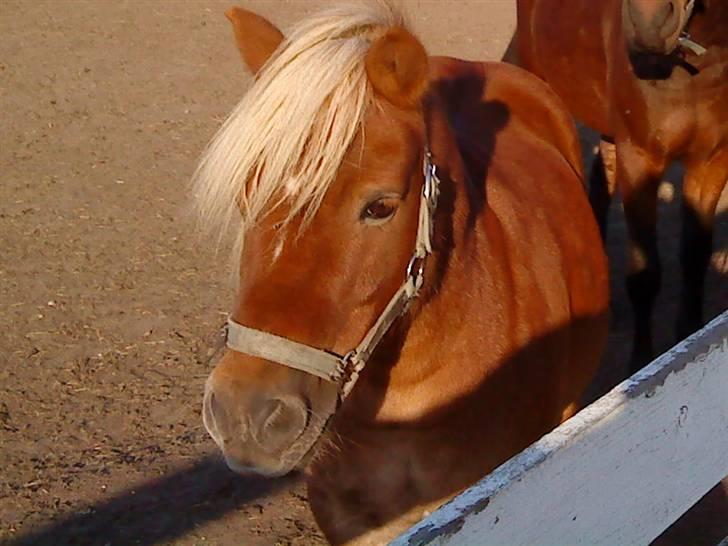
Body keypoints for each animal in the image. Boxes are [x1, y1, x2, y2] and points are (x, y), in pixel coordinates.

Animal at [512, 0, 728, 370]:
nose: (648, 26)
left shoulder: (712, 160)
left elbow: (695, 255)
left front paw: (689, 334)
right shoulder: (640, 157)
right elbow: (644, 273)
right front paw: (641, 361)